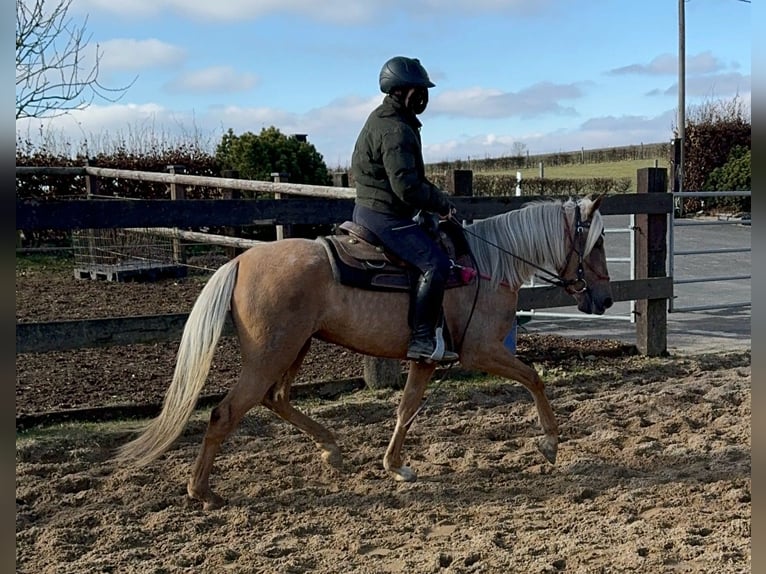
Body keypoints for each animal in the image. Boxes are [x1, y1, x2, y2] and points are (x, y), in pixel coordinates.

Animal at [115, 196, 616, 510]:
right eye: (597, 243)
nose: (606, 300)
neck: (487, 266)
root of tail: (240, 260)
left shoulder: (425, 360)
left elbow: (406, 409)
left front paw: (395, 466)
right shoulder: (482, 352)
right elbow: (534, 377)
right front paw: (550, 443)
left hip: (294, 349)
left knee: (277, 399)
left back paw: (332, 451)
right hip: (270, 355)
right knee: (226, 413)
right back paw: (203, 492)